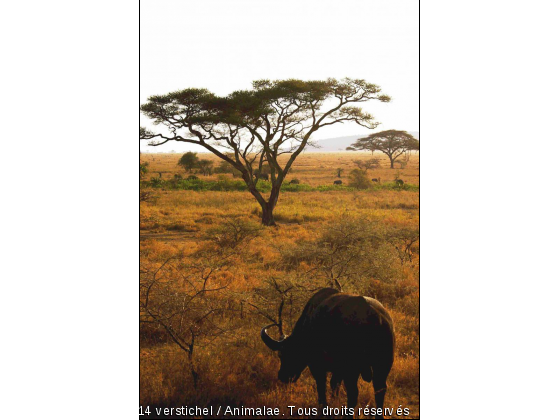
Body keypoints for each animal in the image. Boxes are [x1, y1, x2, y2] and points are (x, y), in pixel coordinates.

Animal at [262, 288, 394, 418]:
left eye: (282, 355)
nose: (282, 376)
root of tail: (374, 316)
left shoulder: (317, 366)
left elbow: (321, 386)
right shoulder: (338, 370)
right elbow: (334, 384)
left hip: (352, 369)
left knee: (353, 393)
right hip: (383, 364)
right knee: (380, 389)